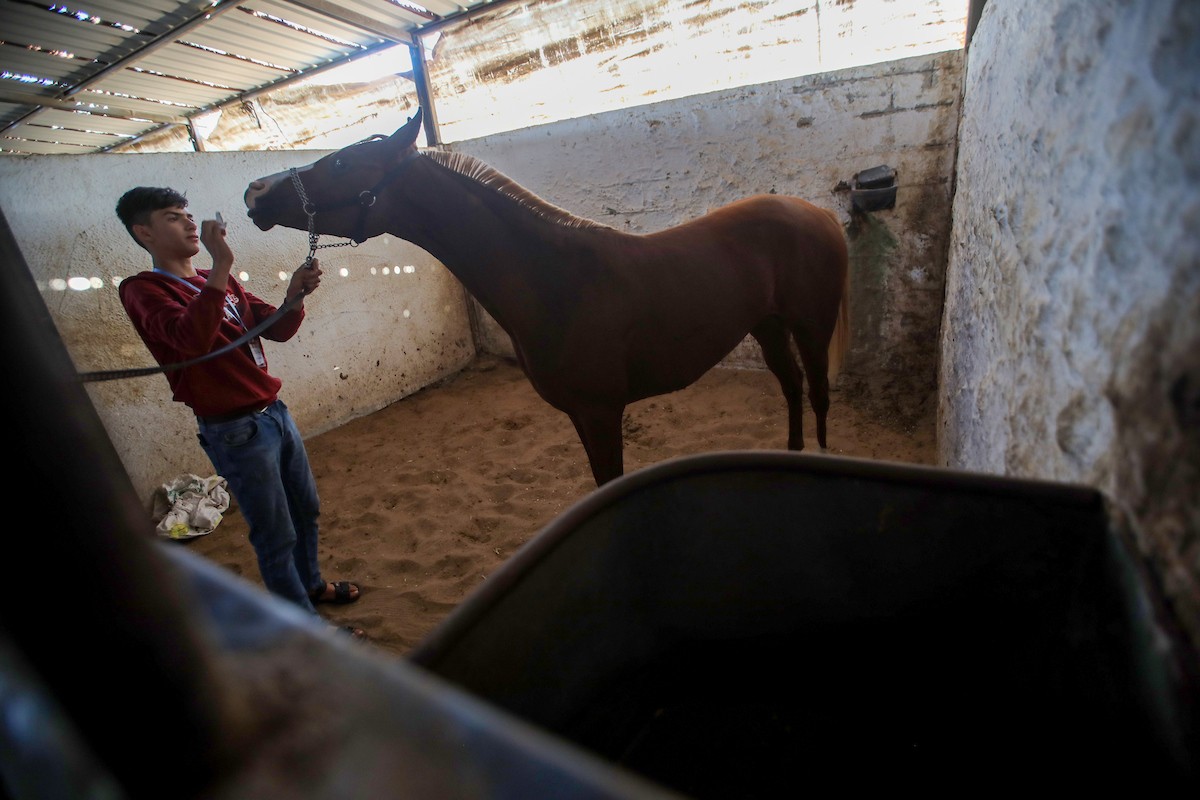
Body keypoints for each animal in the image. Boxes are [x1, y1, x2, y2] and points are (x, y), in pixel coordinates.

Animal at [243, 108, 849, 484]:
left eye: (342, 162)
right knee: (791, 386)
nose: (255, 190)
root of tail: (818, 212)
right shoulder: (581, 414)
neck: (555, 278)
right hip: (767, 324)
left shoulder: (601, 412)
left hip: (811, 325)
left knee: (818, 391)